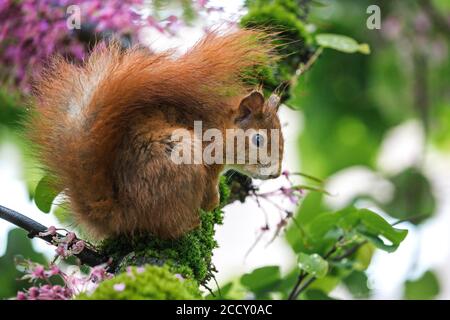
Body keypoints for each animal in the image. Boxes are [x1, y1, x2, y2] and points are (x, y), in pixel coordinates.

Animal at [29, 29, 284, 240]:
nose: (276, 174)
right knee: (168, 226)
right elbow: (210, 189)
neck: (219, 126)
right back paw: (190, 223)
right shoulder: (209, 158)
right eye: (258, 139)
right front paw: (213, 201)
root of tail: (124, 213)